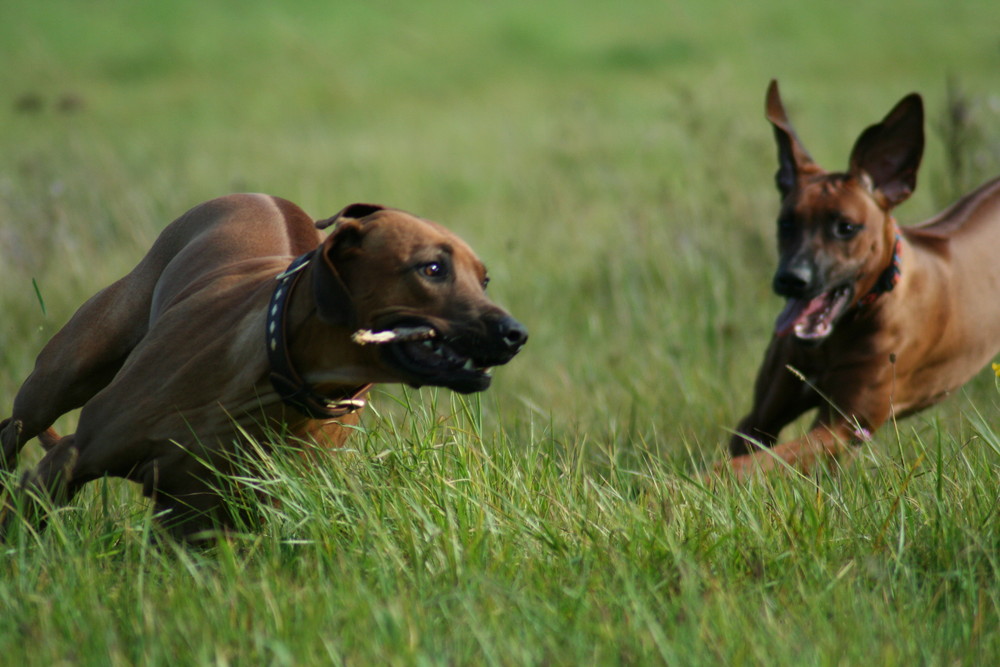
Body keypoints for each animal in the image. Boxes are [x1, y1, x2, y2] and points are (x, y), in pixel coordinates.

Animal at [0, 196, 528, 540]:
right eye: (432, 269)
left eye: (483, 280)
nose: (515, 333)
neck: (280, 379)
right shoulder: (72, 456)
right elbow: (22, 520)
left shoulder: (212, 515)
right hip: (63, 375)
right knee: (16, 426)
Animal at [724, 82, 1000, 480]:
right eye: (786, 223)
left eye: (846, 227)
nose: (791, 279)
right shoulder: (761, 417)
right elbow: (749, 453)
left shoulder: (841, 428)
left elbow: (745, 467)